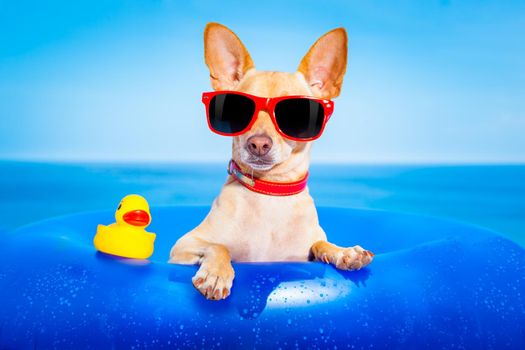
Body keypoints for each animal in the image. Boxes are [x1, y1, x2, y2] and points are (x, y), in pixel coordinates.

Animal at [169, 23, 372, 300]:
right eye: (237, 110)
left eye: (297, 115)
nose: (258, 144)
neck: (270, 192)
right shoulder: (184, 246)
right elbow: (219, 246)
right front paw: (216, 274)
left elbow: (319, 242)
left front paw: (344, 251)